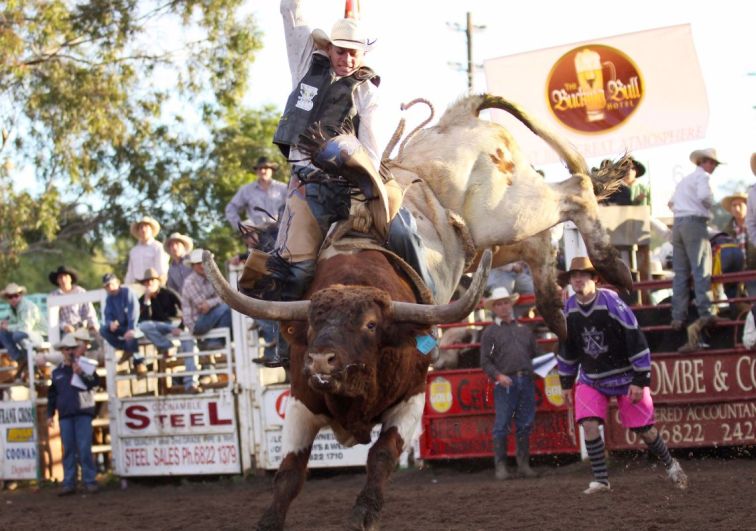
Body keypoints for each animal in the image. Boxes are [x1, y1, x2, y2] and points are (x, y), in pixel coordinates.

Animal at [204, 249, 494, 531]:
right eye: (311, 323)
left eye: (371, 324)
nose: (320, 360)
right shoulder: (301, 401)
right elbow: (290, 470)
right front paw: (269, 521)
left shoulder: (411, 398)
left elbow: (381, 456)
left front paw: (365, 513)